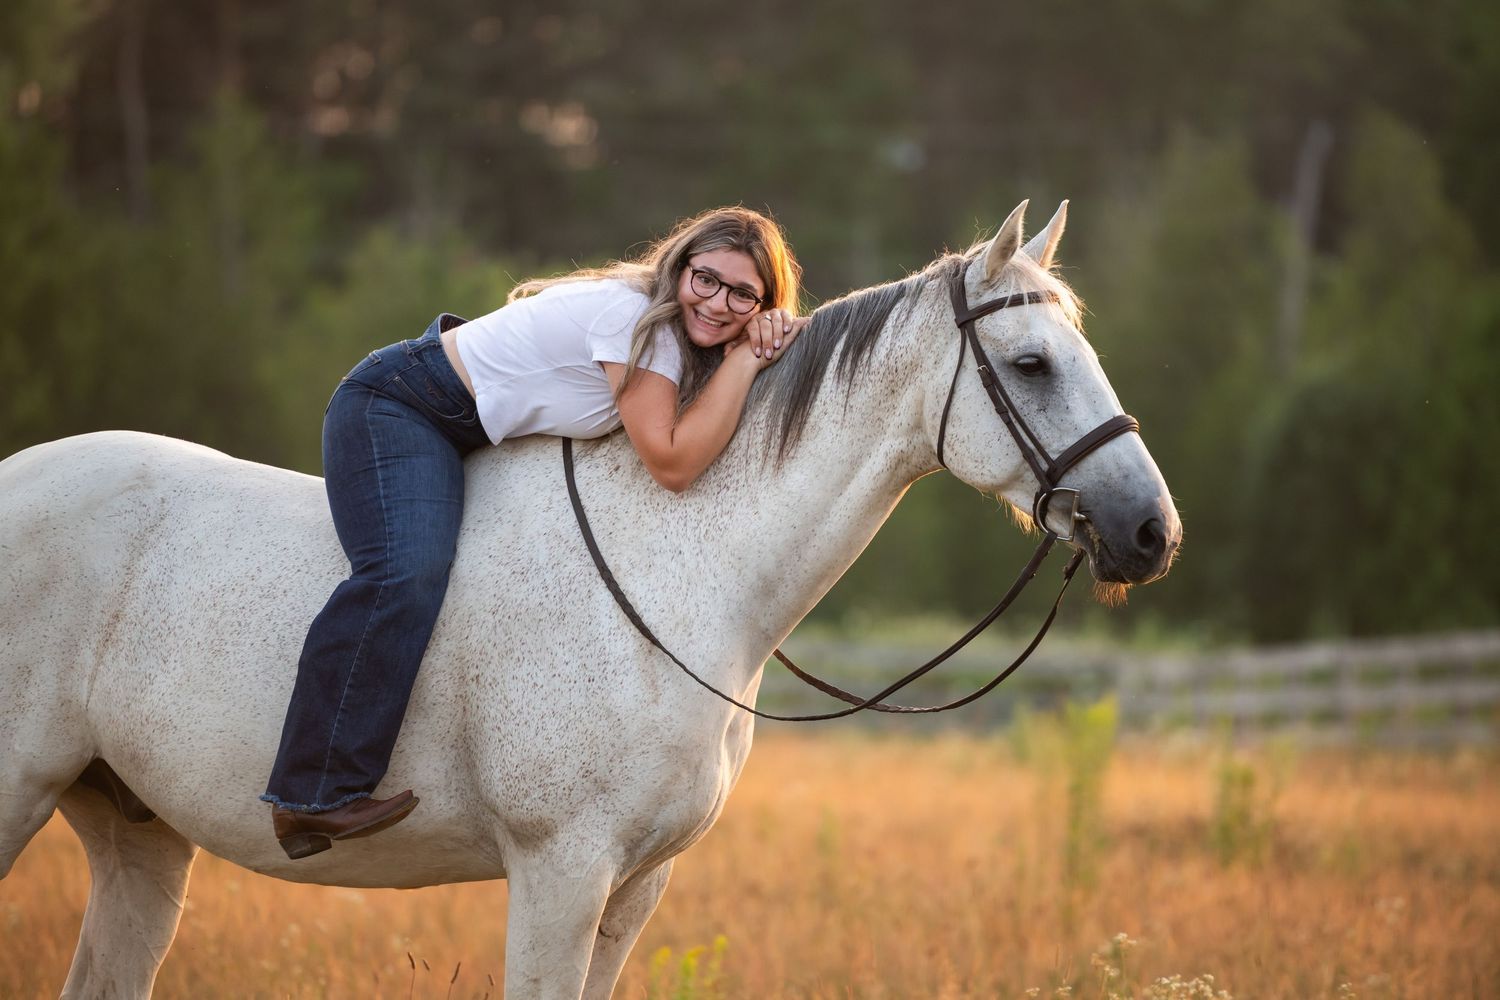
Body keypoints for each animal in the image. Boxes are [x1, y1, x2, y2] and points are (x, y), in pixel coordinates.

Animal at [0, 201, 1180, 999]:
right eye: (1029, 363)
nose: (1150, 532)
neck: (681, 572)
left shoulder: (634, 885)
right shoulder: (560, 871)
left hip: (140, 836)